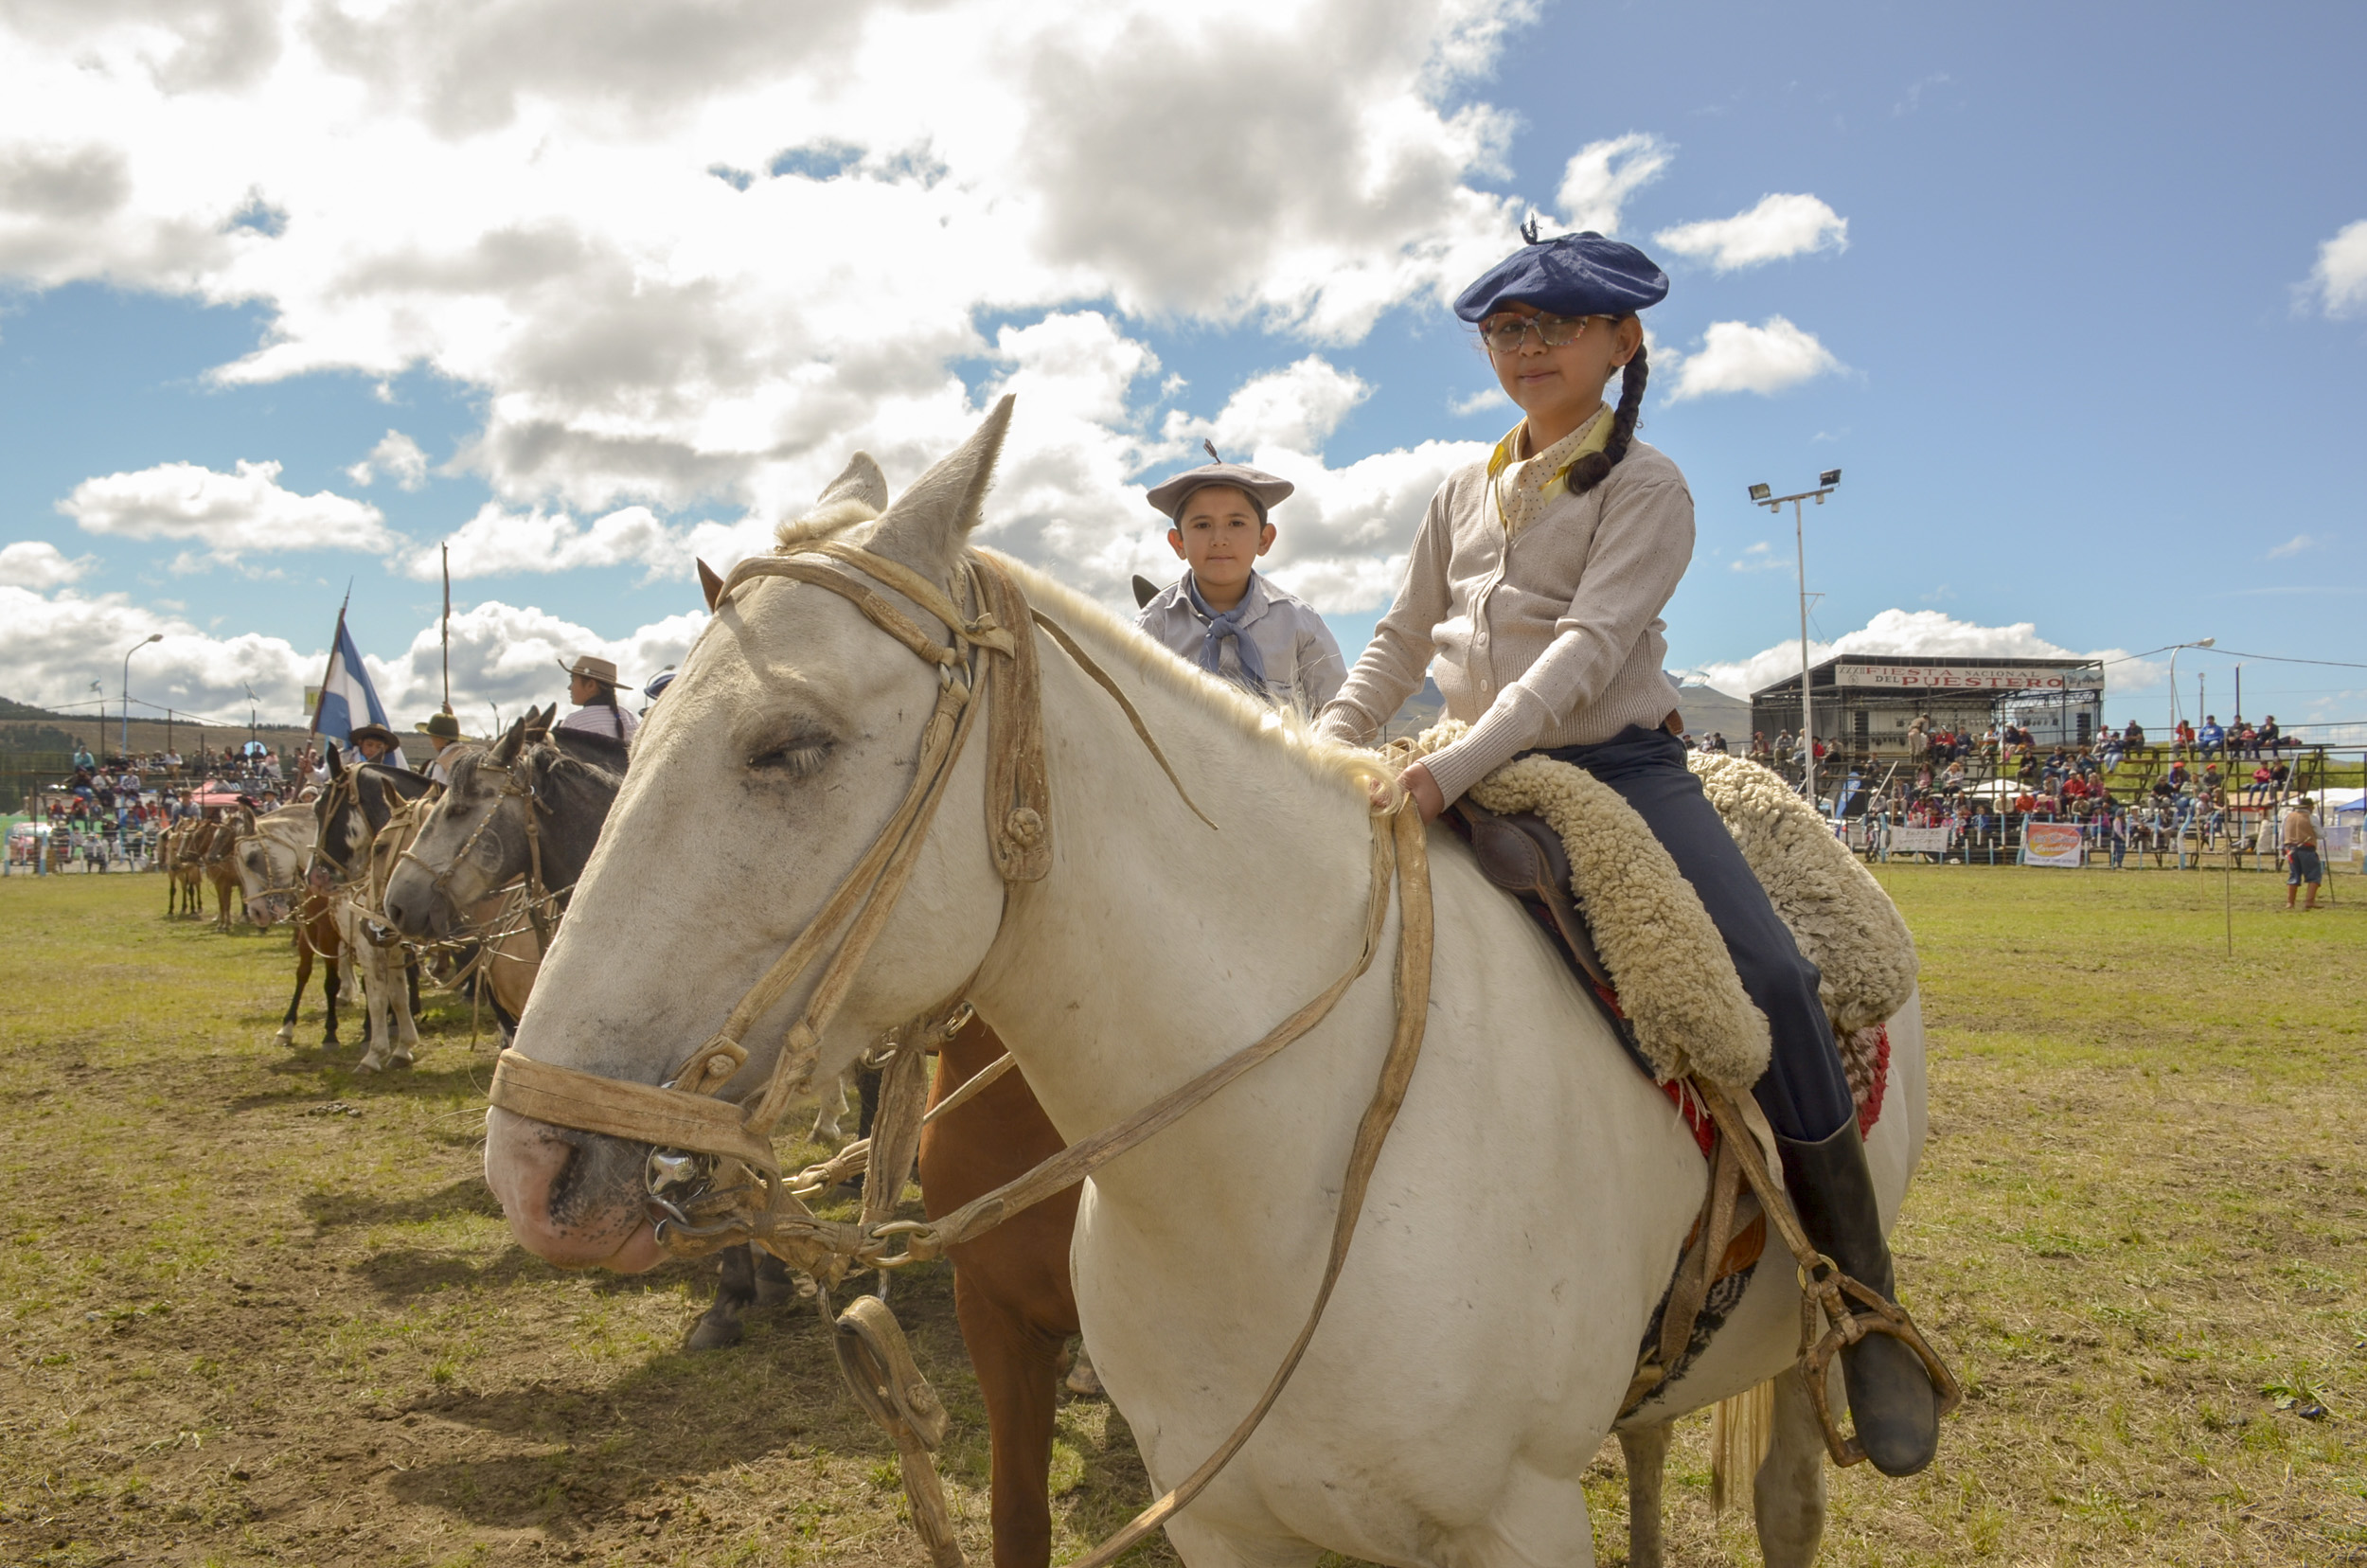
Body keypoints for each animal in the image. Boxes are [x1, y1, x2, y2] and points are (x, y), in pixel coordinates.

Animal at [481, 401, 1930, 1568]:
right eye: (631, 743)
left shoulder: (1514, 1523)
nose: (532, 1166)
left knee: (1790, 1496)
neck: (1285, 1166)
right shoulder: (1219, 1508)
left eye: (787, 743)